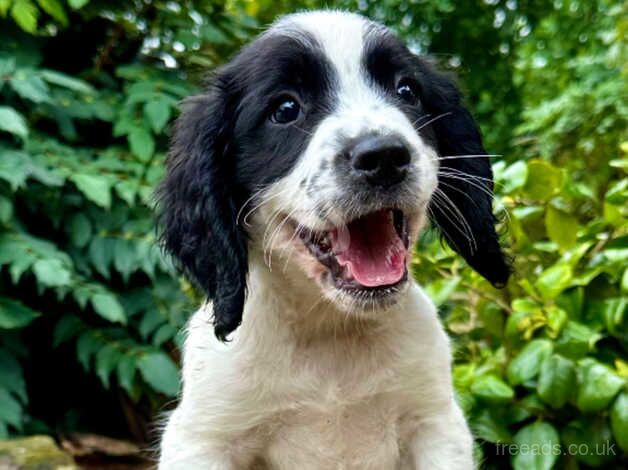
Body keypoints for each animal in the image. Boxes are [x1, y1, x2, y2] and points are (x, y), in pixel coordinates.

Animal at [157, 9, 510, 468]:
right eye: (286, 108)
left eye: (407, 91)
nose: (383, 156)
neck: (331, 333)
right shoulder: (203, 439)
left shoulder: (435, 424)